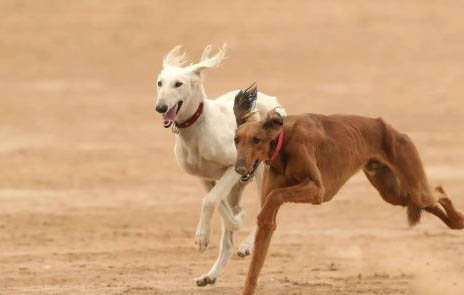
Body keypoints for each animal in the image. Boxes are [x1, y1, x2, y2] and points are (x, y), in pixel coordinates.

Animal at [154, 45, 284, 288]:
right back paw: (210, 275)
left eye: (178, 84)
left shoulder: (234, 166)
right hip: (239, 186)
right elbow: (217, 204)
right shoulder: (205, 177)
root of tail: (272, 100)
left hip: (263, 174)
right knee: (228, 240)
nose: (160, 107)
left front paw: (202, 238)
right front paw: (236, 219)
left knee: (266, 213)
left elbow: (210, 201)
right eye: (160, 83)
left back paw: (247, 246)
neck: (196, 129)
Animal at [232, 84, 464, 295]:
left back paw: (458, 219)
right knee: (427, 199)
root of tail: (387, 126)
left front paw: (264, 215)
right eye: (236, 140)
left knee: (438, 192)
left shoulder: (317, 190)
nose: (240, 168)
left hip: (413, 182)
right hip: (391, 191)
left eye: (256, 140)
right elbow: (255, 266)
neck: (282, 142)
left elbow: (276, 195)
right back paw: (455, 221)